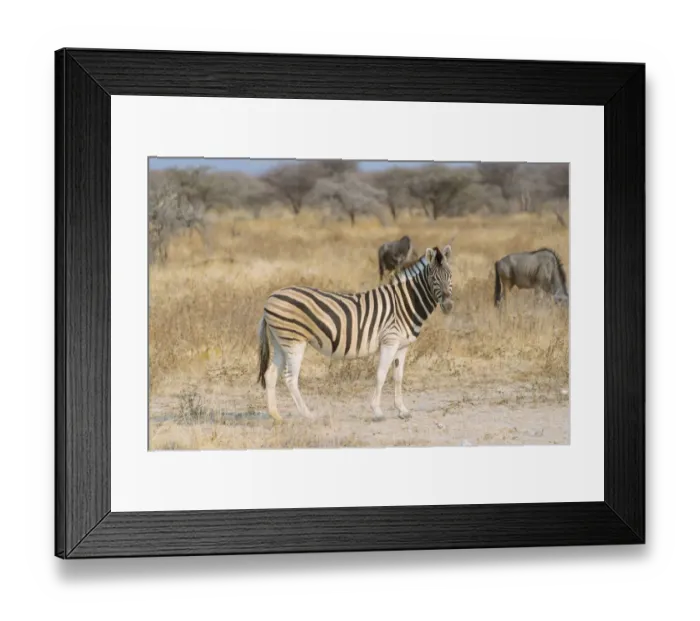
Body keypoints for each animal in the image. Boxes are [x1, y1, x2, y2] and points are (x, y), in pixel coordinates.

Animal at [257, 244, 454, 423]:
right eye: (433, 278)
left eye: (450, 276)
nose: (448, 306)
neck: (406, 302)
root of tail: (270, 297)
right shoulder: (389, 341)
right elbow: (381, 375)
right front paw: (377, 412)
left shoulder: (402, 346)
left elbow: (398, 377)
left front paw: (402, 410)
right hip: (294, 341)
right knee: (290, 378)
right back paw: (309, 415)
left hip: (280, 343)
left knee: (270, 374)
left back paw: (276, 415)